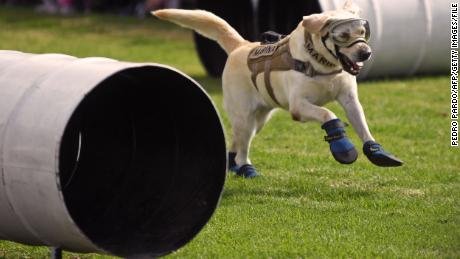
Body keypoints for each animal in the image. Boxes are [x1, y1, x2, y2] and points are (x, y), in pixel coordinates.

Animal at [153, 0, 400, 178]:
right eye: (342, 35)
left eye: (362, 32)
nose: (366, 53)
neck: (322, 64)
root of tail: (242, 45)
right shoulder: (298, 106)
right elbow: (328, 113)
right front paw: (342, 145)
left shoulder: (350, 100)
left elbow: (362, 126)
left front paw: (377, 151)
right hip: (244, 117)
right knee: (242, 145)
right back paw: (245, 168)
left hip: (259, 120)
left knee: (237, 143)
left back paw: (235, 166)